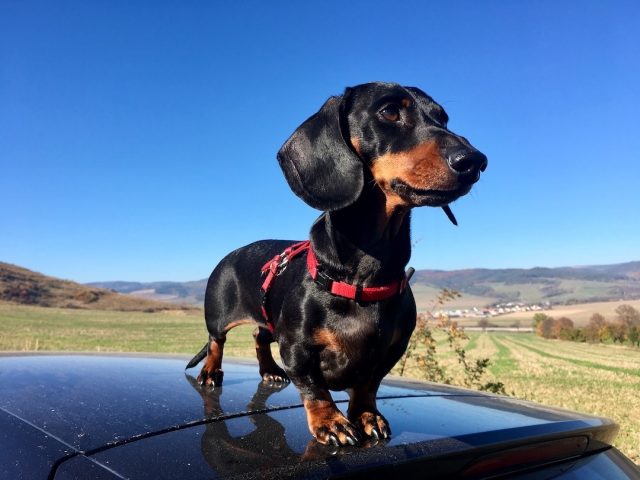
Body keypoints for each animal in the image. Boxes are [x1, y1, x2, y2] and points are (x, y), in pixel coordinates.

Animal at [188, 81, 488, 446]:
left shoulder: (390, 351)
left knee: (260, 337)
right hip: (218, 316)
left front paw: (366, 415)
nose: (476, 161)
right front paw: (330, 422)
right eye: (390, 111)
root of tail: (232, 253)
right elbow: (314, 388)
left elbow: (367, 385)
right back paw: (210, 371)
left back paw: (270, 371)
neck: (363, 277)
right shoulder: (296, 347)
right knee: (216, 342)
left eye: (443, 118)